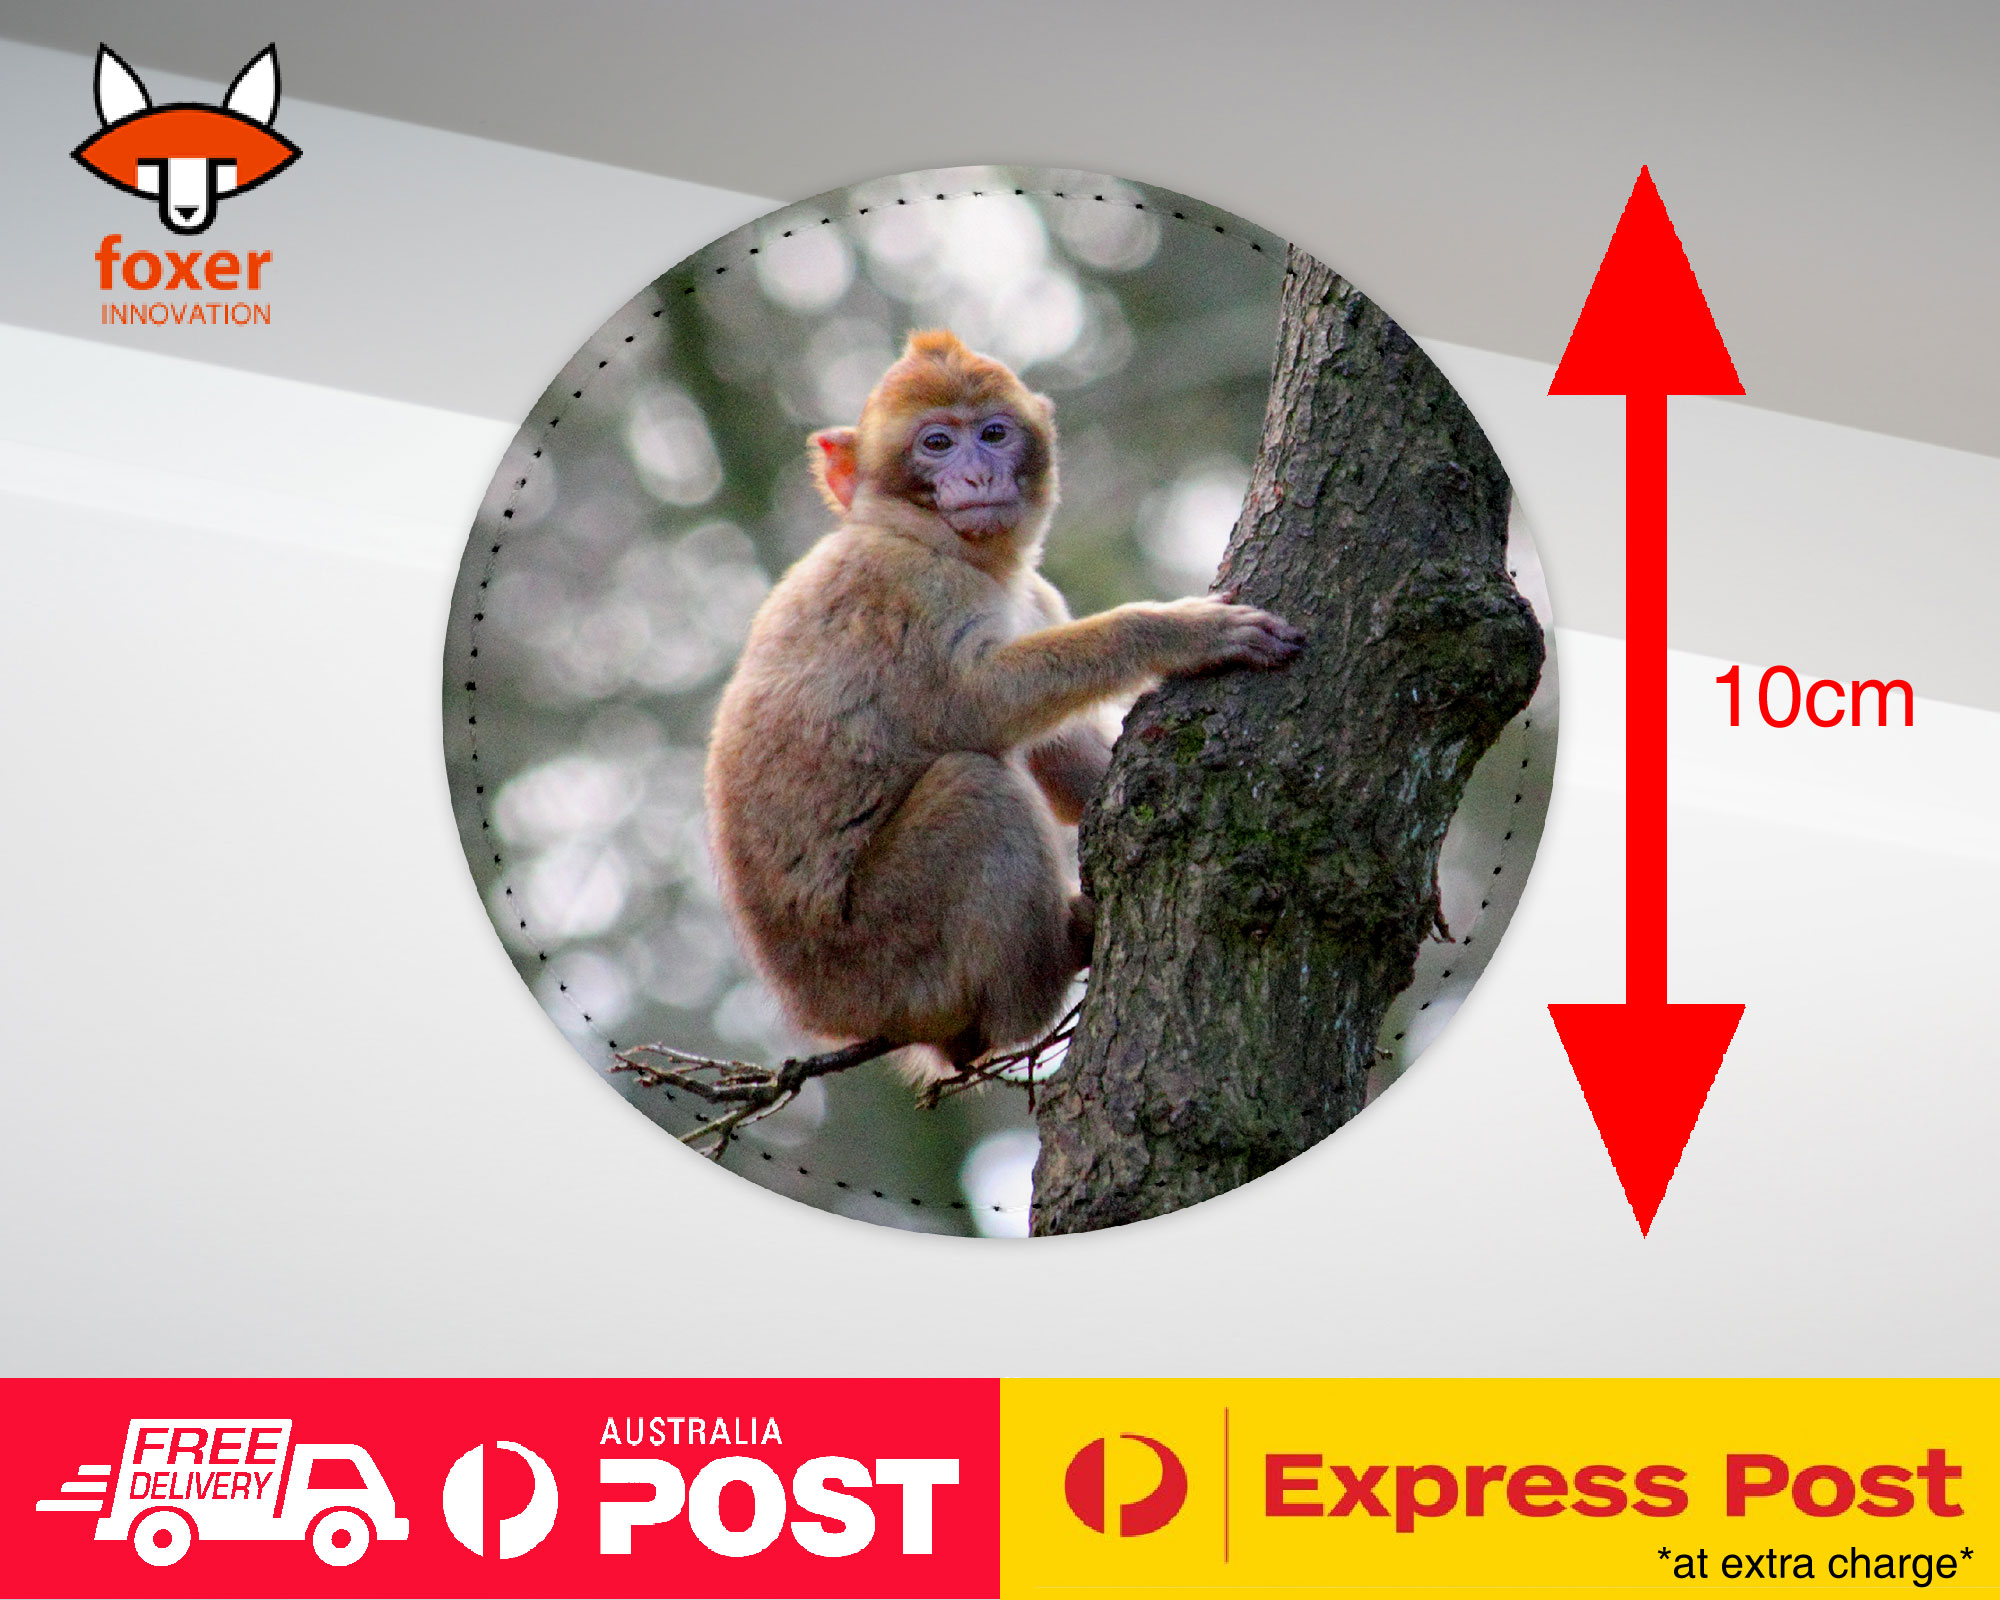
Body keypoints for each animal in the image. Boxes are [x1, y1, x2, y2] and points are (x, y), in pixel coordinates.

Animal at [704, 330, 1302, 1079]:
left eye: (993, 434)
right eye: (937, 443)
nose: (977, 476)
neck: (948, 549)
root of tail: (822, 1012)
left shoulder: (1037, 596)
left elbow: (1065, 762)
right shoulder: (904, 588)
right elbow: (969, 710)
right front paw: (1177, 631)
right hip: (883, 952)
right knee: (976, 786)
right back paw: (1048, 971)